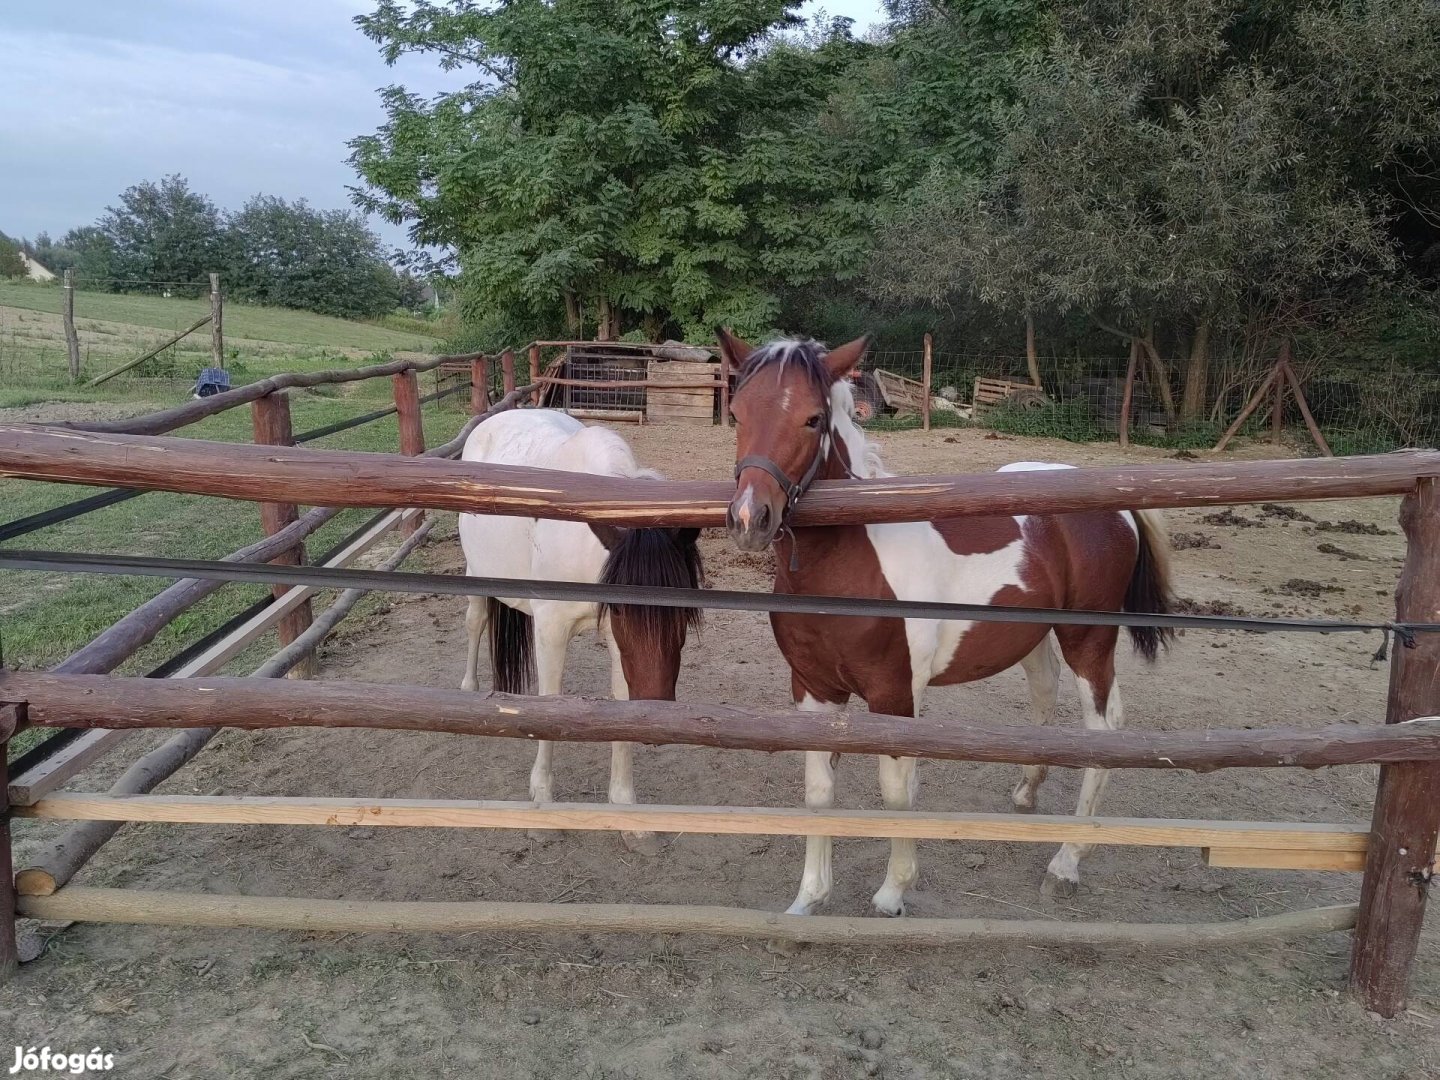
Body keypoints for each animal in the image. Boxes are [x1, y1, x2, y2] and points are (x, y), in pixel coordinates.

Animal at [457, 408, 699, 852]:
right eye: (621, 607)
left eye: (684, 613)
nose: (660, 717)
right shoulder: (552, 629)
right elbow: (549, 704)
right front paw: (542, 808)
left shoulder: (622, 649)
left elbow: (622, 703)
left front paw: (628, 815)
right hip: (477, 573)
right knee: (475, 620)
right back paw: (469, 690)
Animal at [717, 334, 1169, 915]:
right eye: (736, 414)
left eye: (812, 419)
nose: (750, 520)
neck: (851, 563)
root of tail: (1122, 507)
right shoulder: (813, 690)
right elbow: (818, 792)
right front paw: (809, 900)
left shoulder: (894, 696)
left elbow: (896, 792)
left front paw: (892, 893)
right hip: (1035, 637)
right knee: (1045, 694)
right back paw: (1027, 794)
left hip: (1088, 639)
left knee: (1104, 728)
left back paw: (1066, 863)